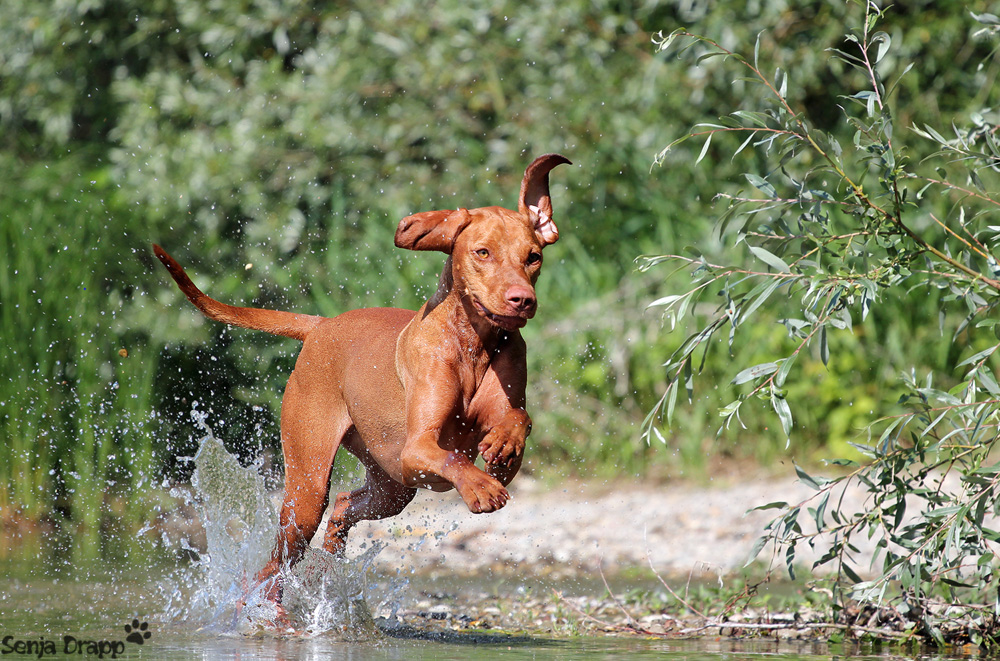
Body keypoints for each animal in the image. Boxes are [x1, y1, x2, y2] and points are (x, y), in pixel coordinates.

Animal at [152, 151, 568, 604]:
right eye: (482, 252)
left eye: (533, 257)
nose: (522, 300)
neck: (473, 343)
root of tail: (321, 325)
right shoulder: (418, 448)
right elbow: (452, 456)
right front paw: (481, 487)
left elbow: (519, 420)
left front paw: (505, 443)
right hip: (308, 488)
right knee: (277, 561)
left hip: (392, 486)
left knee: (342, 507)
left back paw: (329, 565)